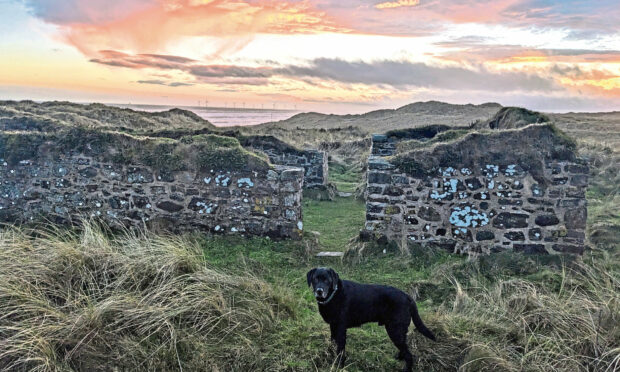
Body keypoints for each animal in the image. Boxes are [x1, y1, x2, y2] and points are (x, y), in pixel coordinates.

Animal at [306, 268, 436, 370]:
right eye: (315, 279)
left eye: (326, 280)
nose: (319, 291)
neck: (334, 295)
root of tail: (408, 297)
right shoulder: (333, 326)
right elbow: (332, 345)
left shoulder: (341, 329)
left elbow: (340, 350)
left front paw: (339, 366)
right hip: (399, 330)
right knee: (405, 347)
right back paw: (399, 357)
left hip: (394, 330)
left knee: (409, 356)